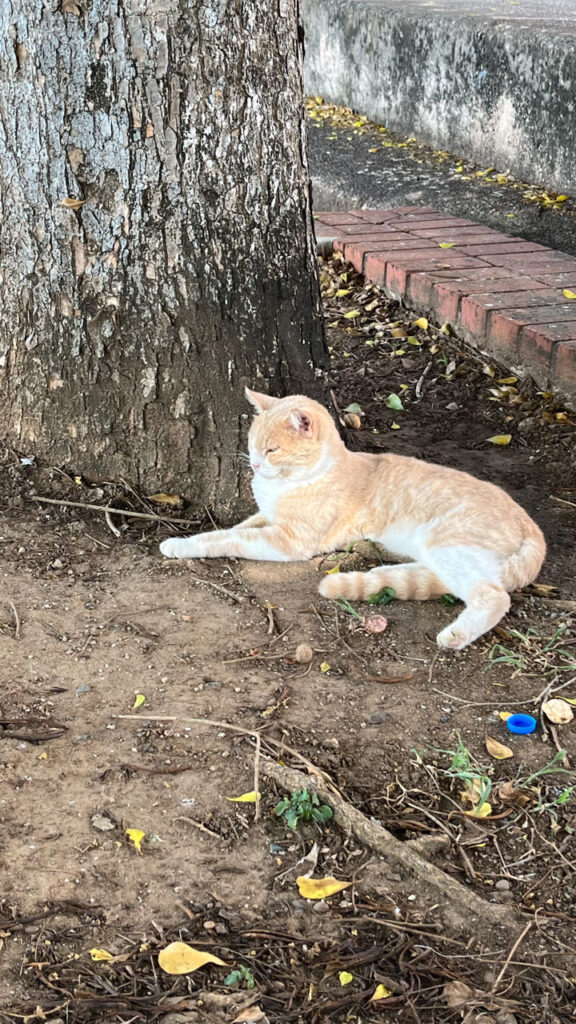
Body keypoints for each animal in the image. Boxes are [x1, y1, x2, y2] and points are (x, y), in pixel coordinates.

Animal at [158, 387, 545, 651]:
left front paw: (179, 544)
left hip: (449, 544)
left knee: (493, 596)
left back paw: (456, 634)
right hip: (440, 554)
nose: (253, 464)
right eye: (253, 445)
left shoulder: (288, 542)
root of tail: (533, 528)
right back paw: (373, 575)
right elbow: (235, 528)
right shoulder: (261, 518)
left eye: (272, 450)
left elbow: (223, 538)